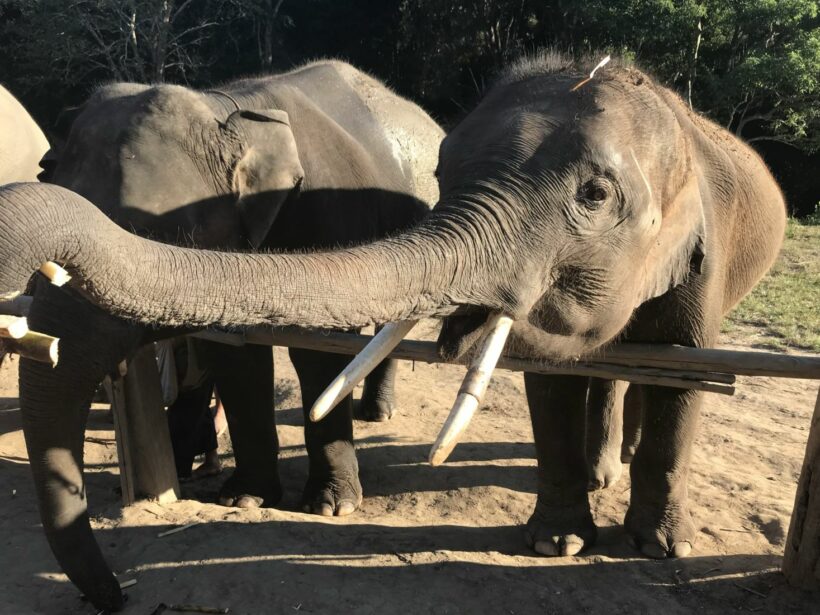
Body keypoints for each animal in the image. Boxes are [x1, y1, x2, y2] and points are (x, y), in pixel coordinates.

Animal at [42, 60, 446, 516]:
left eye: (142, 237)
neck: (228, 113)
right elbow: (235, 357)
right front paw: (245, 497)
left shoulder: (326, 217)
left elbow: (319, 352)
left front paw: (330, 506)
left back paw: (378, 415)